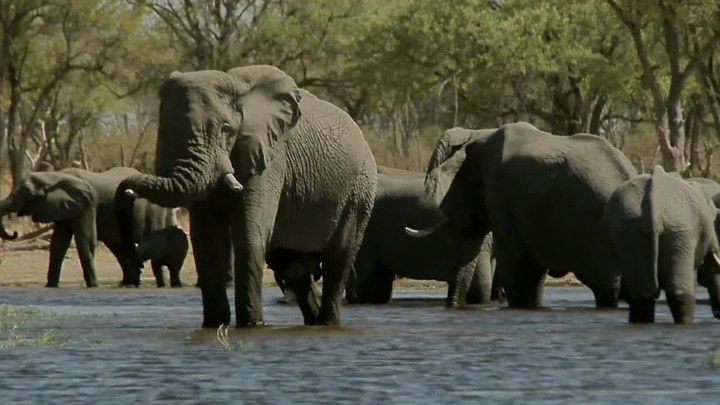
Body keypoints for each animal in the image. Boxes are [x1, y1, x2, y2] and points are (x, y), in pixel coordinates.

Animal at [0, 167, 179, 288]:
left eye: (29, 194)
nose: (15, 233)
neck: (54, 175)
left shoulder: (87, 204)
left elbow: (85, 239)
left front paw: (93, 286)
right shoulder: (64, 206)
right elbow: (58, 243)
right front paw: (50, 286)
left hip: (155, 209)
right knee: (118, 247)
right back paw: (128, 284)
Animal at [115, 64, 376, 326]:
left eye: (225, 130)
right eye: (165, 131)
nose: (126, 191)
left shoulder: (269, 157)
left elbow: (249, 235)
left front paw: (251, 325)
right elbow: (206, 242)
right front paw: (215, 324)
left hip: (359, 191)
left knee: (338, 259)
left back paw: (327, 324)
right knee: (293, 267)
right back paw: (312, 322)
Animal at [404, 121, 636, 308]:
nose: (453, 307)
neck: (478, 133)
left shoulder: (500, 192)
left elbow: (518, 270)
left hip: (592, 227)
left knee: (605, 284)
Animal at [604, 166, 720, 324]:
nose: (717, 313)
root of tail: (655, 208)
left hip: (628, 228)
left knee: (642, 294)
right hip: (680, 228)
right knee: (680, 294)